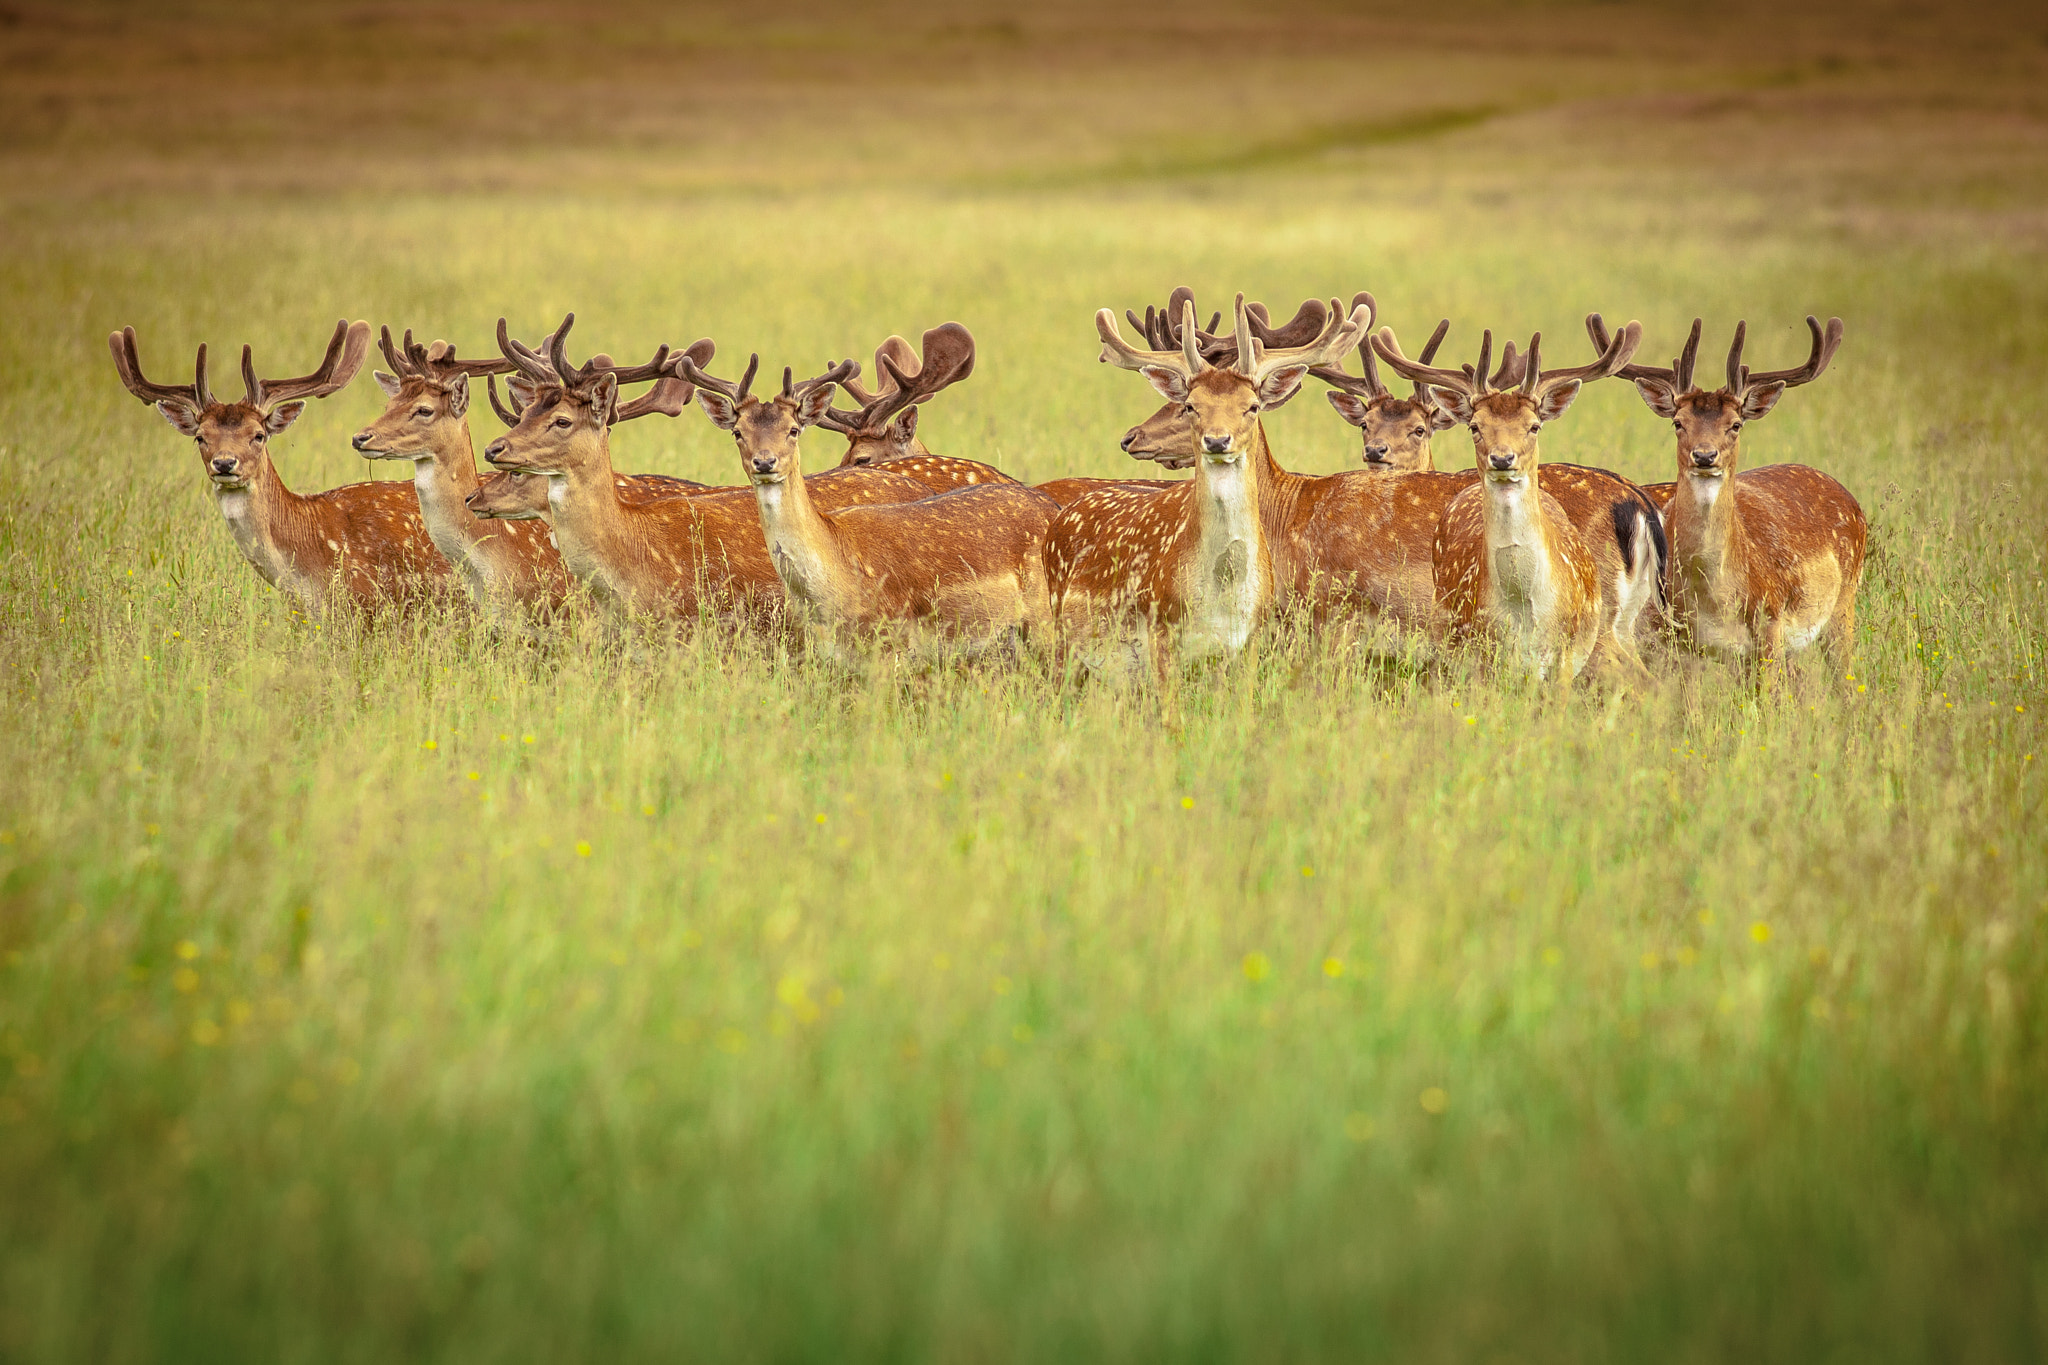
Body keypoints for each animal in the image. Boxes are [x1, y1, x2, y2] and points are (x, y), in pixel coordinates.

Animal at [1591, 313, 1863, 672]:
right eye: (1678, 422)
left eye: (1735, 424)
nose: (1705, 455)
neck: (1713, 599)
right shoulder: (1663, 636)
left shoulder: (1770, 622)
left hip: (1844, 602)